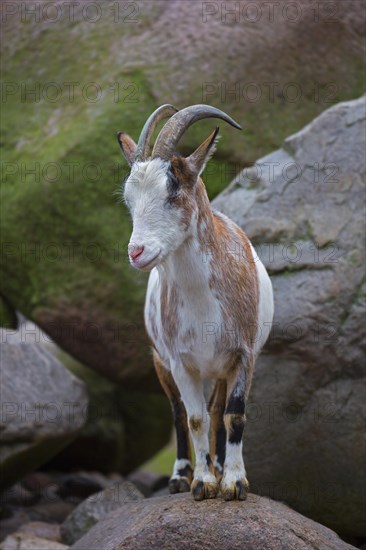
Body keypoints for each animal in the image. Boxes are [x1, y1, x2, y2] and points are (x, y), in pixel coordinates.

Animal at [116, 104, 272, 504]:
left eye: (173, 192)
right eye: (129, 200)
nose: (136, 252)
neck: (203, 302)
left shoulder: (243, 354)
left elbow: (234, 415)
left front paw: (233, 483)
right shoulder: (180, 361)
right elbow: (194, 418)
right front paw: (202, 483)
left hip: (219, 368)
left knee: (218, 411)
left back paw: (217, 467)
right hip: (161, 361)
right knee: (178, 412)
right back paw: (181, 476)